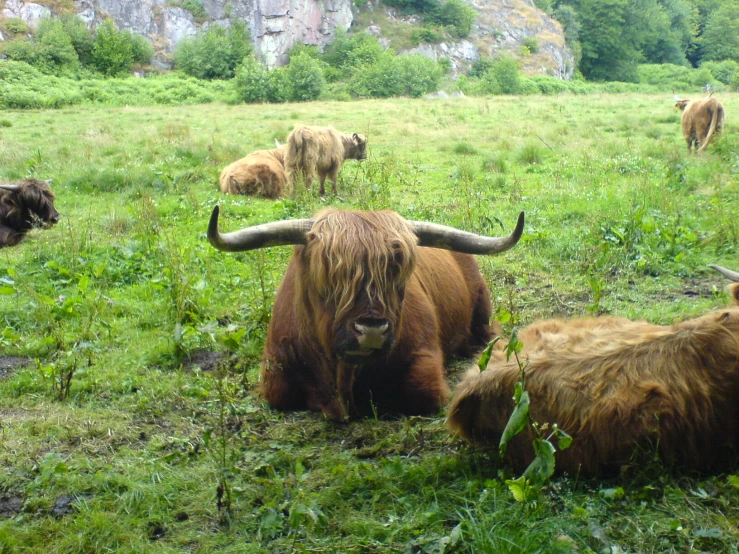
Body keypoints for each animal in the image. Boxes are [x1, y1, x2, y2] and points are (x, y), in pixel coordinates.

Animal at [205, 205, 524, 420]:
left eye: (398, 276)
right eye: (329, 276)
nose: (372, 330)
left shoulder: (424, 358)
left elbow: (421, 393)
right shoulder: (274, 371)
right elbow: (278, 395)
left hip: (483, 312)